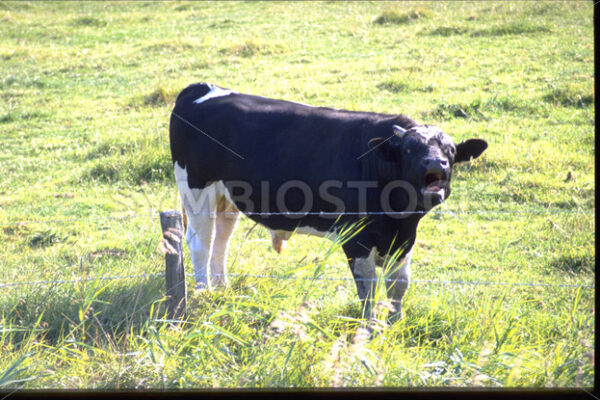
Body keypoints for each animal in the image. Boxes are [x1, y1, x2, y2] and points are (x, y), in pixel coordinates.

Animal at [170, 83, 488, 324]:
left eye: (450, 150)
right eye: (410, 150)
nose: (435, 164)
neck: (398, 217)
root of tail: (203, 88)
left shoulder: (404, 239)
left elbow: (399, 285)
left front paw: (395, 323)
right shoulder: (355, 237)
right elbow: (368, 286)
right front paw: (369, 327)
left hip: (227, 197)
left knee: (221, 240)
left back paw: (222, 289)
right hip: (196, 188)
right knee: (201, 241)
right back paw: (205, 293)